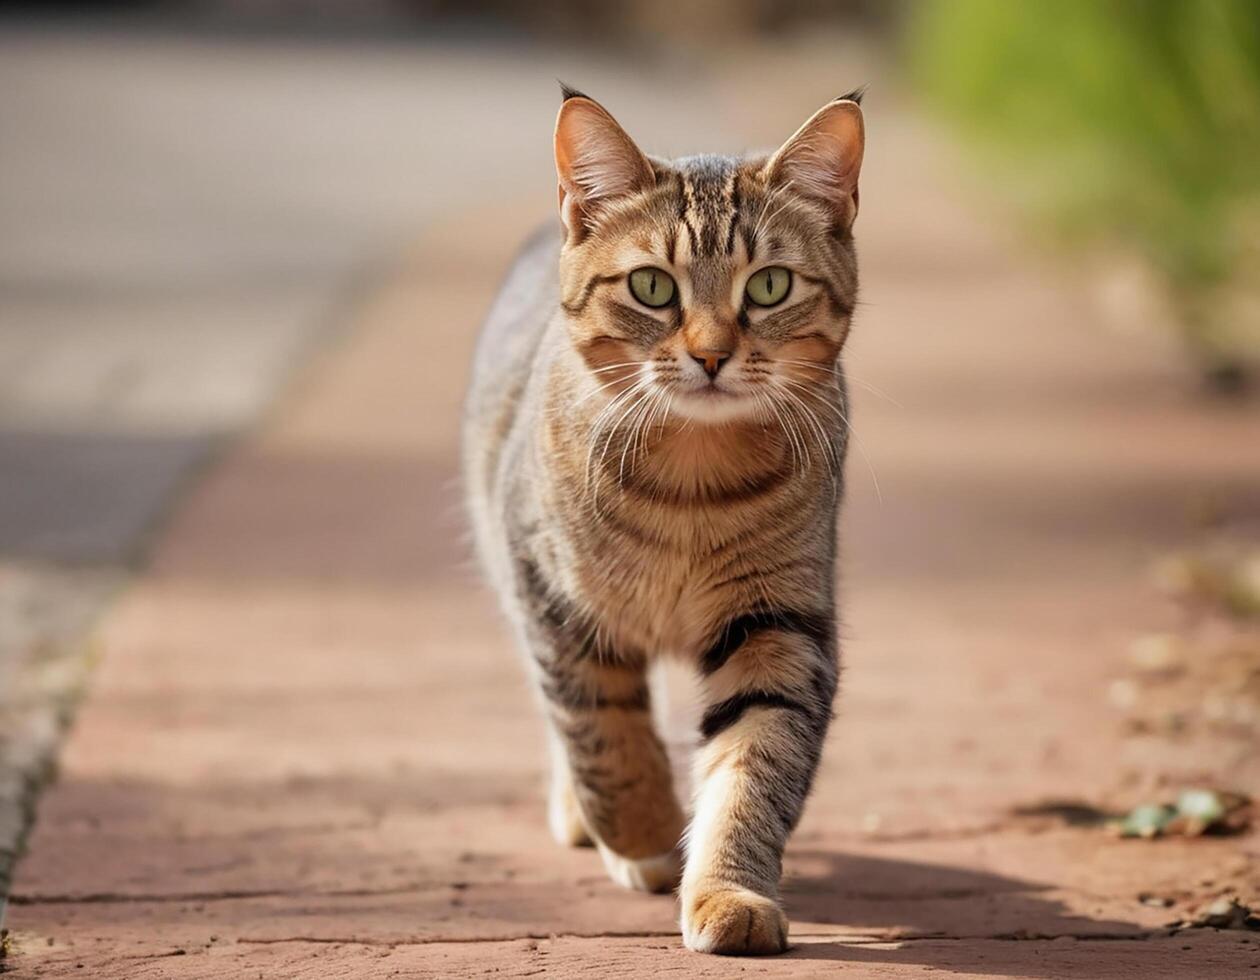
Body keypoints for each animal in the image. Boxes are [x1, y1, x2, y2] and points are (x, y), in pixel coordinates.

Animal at [466, 85, 866, 952]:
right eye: (653, 287)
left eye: (769, 287)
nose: (712, 354)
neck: (692, 481)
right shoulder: (551, 597)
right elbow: (602, 735)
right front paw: (644, 832)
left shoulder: (779, 624)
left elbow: (753, 768)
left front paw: (725, 891)